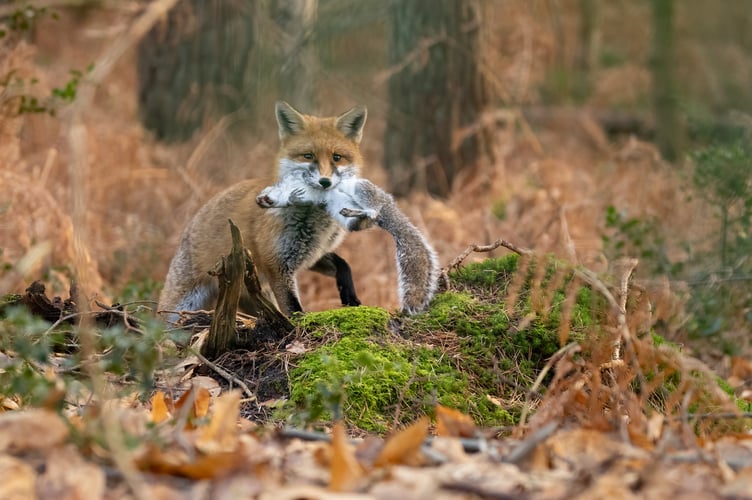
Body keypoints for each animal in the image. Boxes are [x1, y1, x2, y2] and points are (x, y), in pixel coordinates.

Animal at [159, 100, 370, 324]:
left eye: (337, 158)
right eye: (308, 156)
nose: (325, 182)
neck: (316, 224)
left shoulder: (310, 254)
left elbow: (343, 264)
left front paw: (350, 296)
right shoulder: (276, 262)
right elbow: (293, 309)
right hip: (180, 307)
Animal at [258, 178, 440, 314]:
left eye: (265, 195)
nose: (259, 201)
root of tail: (388, 206)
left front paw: (292, 196)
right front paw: (292, 199)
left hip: (362, 189)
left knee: (373, 210)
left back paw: (363, 210)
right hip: (339, 207)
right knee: (365, 218)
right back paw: (355, 214)